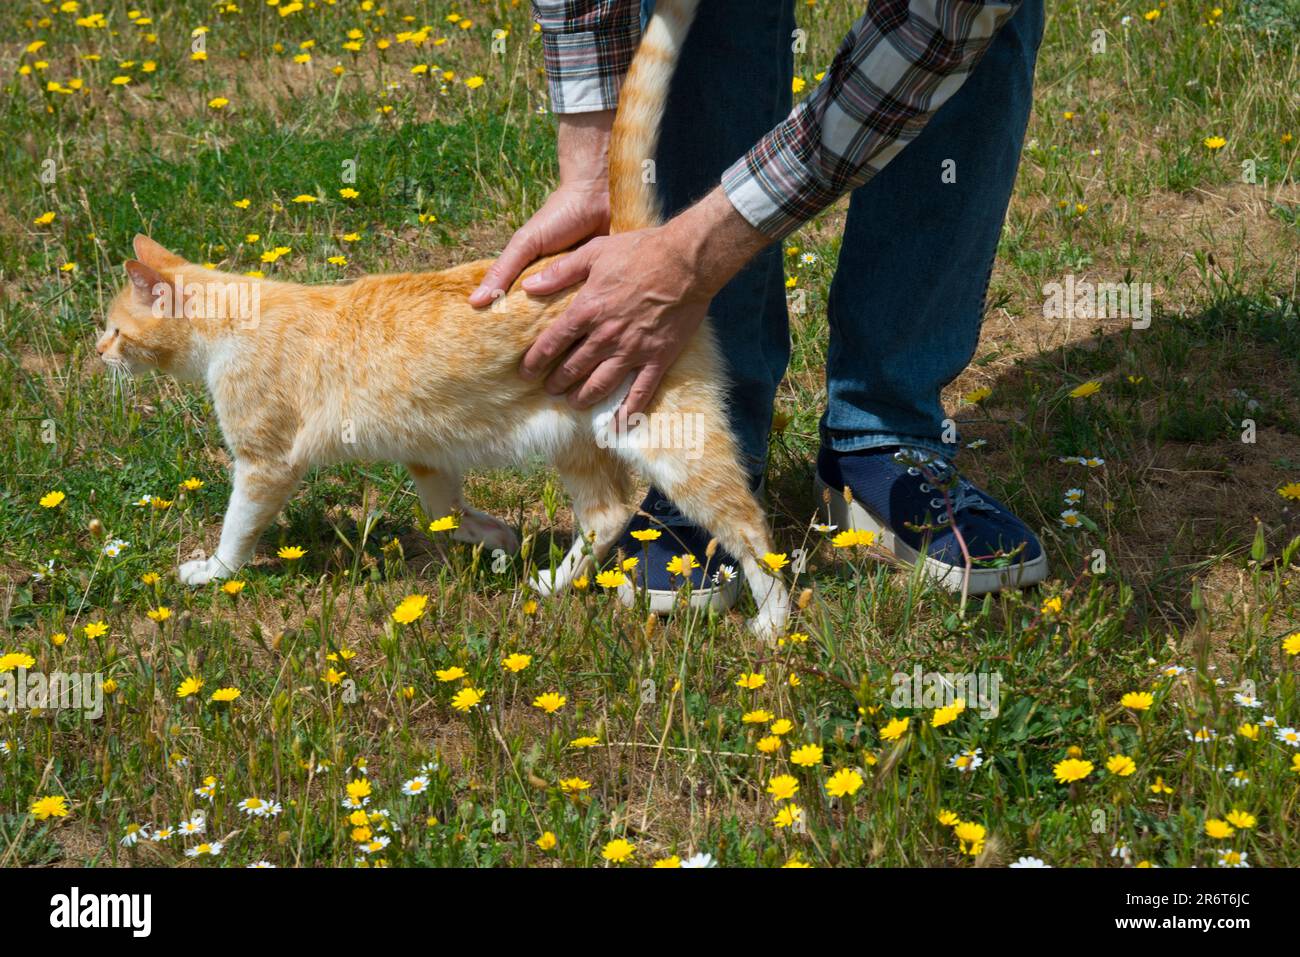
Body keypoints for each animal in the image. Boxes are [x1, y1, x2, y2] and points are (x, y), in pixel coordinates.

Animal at [96, 0, 785, 634]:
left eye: (115, 329)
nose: (96, 352)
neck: (237, 319)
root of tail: (626, 244)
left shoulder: (265, 464)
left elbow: (237, 531)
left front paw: (211, 572)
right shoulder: (425, 451)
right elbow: (443, 512)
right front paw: (497, 539)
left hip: (667, 438)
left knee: (752, 532)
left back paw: (773, 625)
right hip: (574, 435)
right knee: (606, 516)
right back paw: (550, 584)